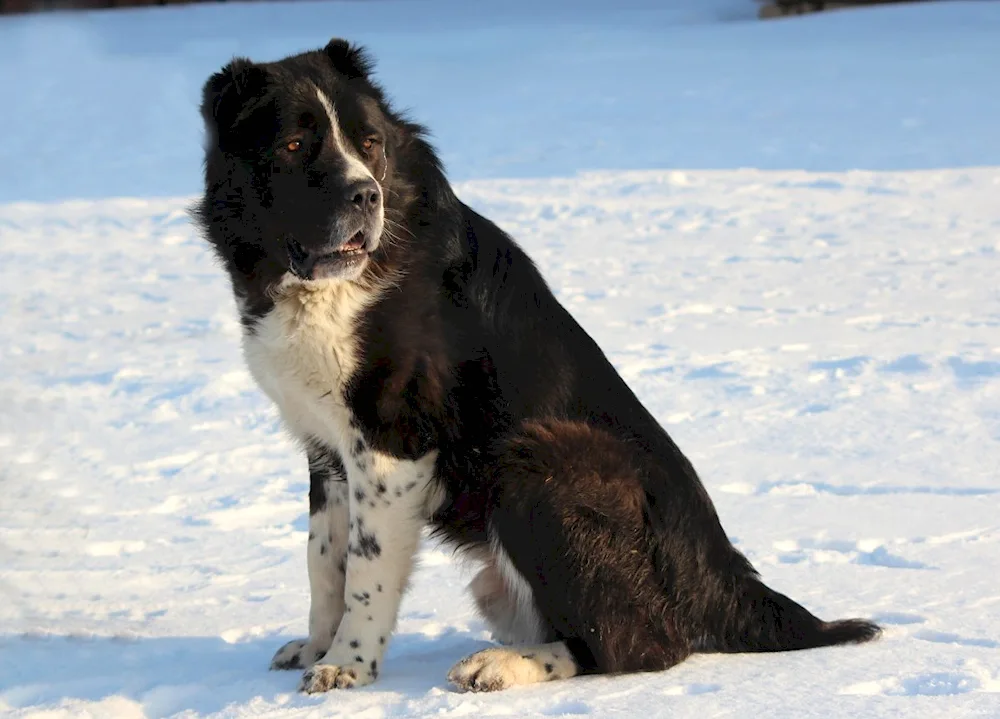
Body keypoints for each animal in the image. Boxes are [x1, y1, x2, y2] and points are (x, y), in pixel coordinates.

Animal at [193, 38, 876, 692]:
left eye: (369, 144)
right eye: (293, 145)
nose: (366, 194)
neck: (313, 285)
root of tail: (723, 576)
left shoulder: (391, 444)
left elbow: (365, 566)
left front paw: (348, 667)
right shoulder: (326, 447)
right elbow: (322, 561)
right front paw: (318, 648)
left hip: (537, 457)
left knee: (641, 645)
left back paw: (502, 667)